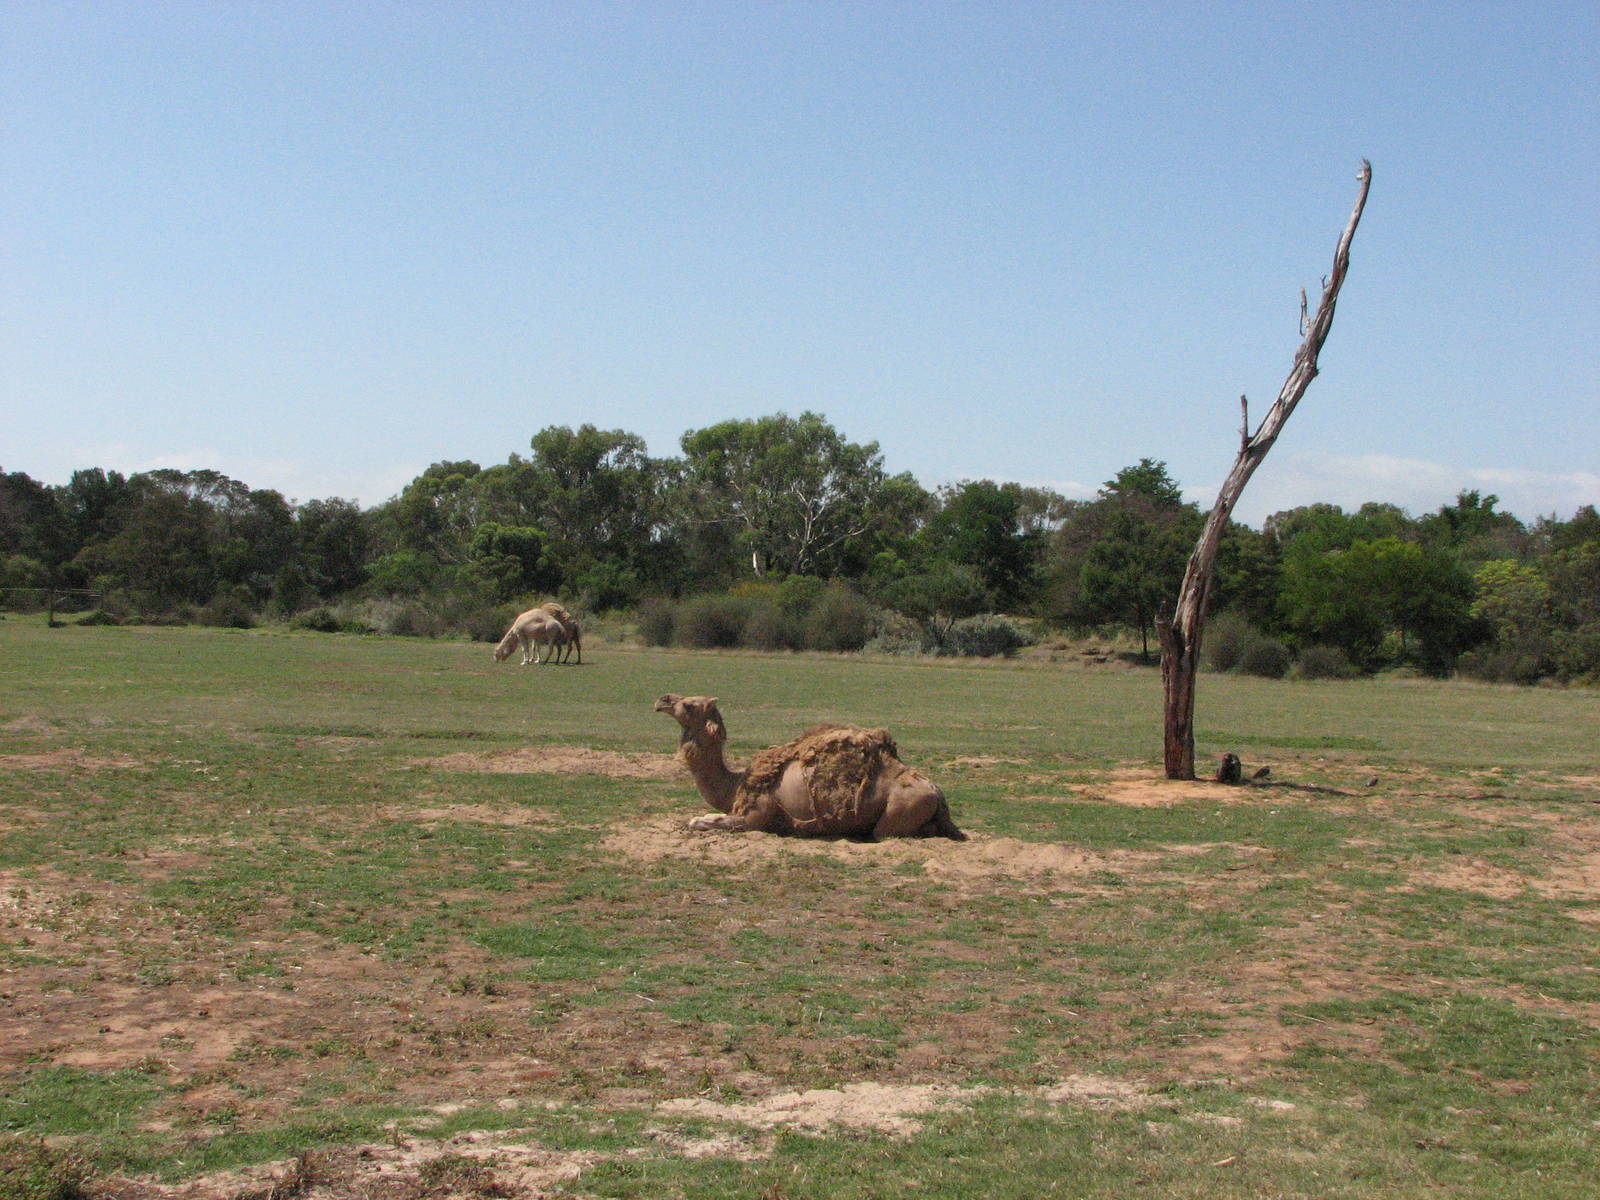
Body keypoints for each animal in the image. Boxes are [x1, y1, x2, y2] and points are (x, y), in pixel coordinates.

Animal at [653, 694, 965, 840]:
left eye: (690, 704)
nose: (662, 700)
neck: (736, 783)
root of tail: (938, 794)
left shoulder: (758, 816)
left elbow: (702, 822)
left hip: (899, 811)